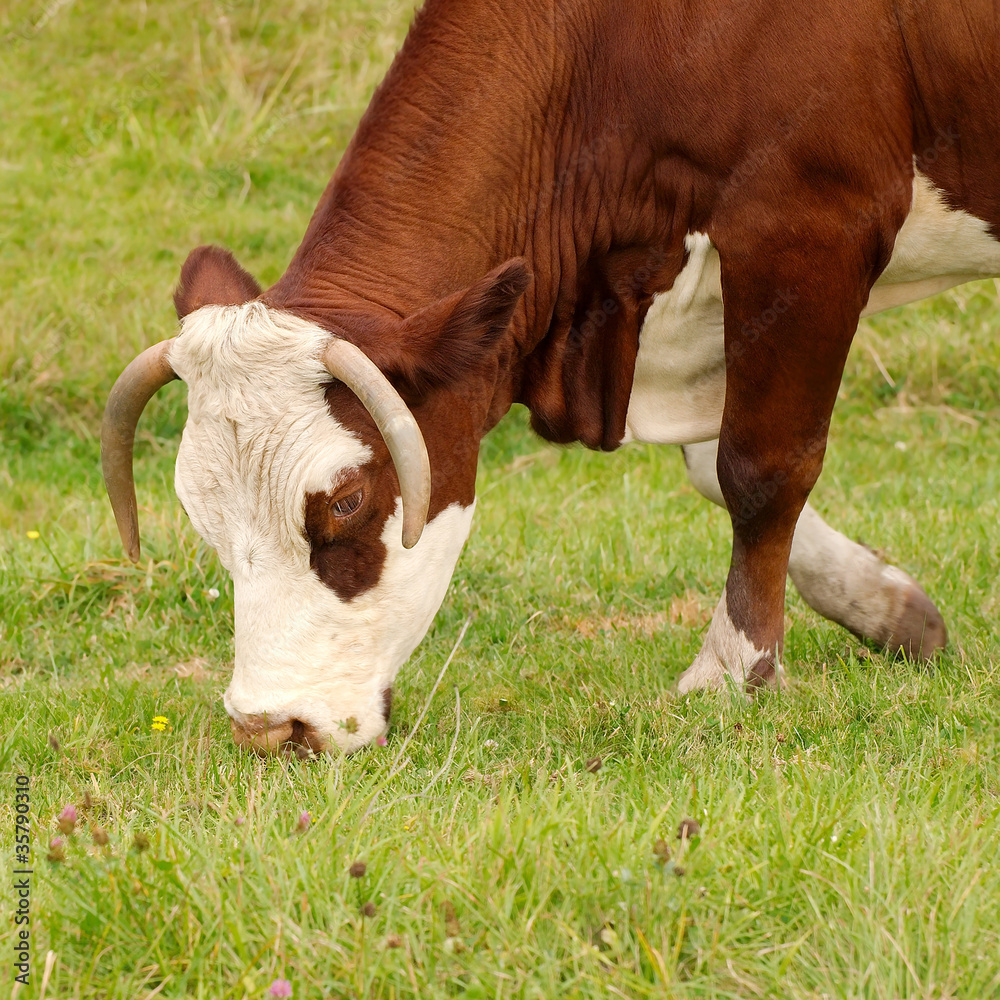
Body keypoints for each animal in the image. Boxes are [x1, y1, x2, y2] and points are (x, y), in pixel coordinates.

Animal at [101, 0, 999, 754]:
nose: (270, 727)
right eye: (203, 516)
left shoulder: (806, 227)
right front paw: (888, 608)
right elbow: (713, 469)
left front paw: (733, 671)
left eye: (349, 502)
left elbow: (760, 468)